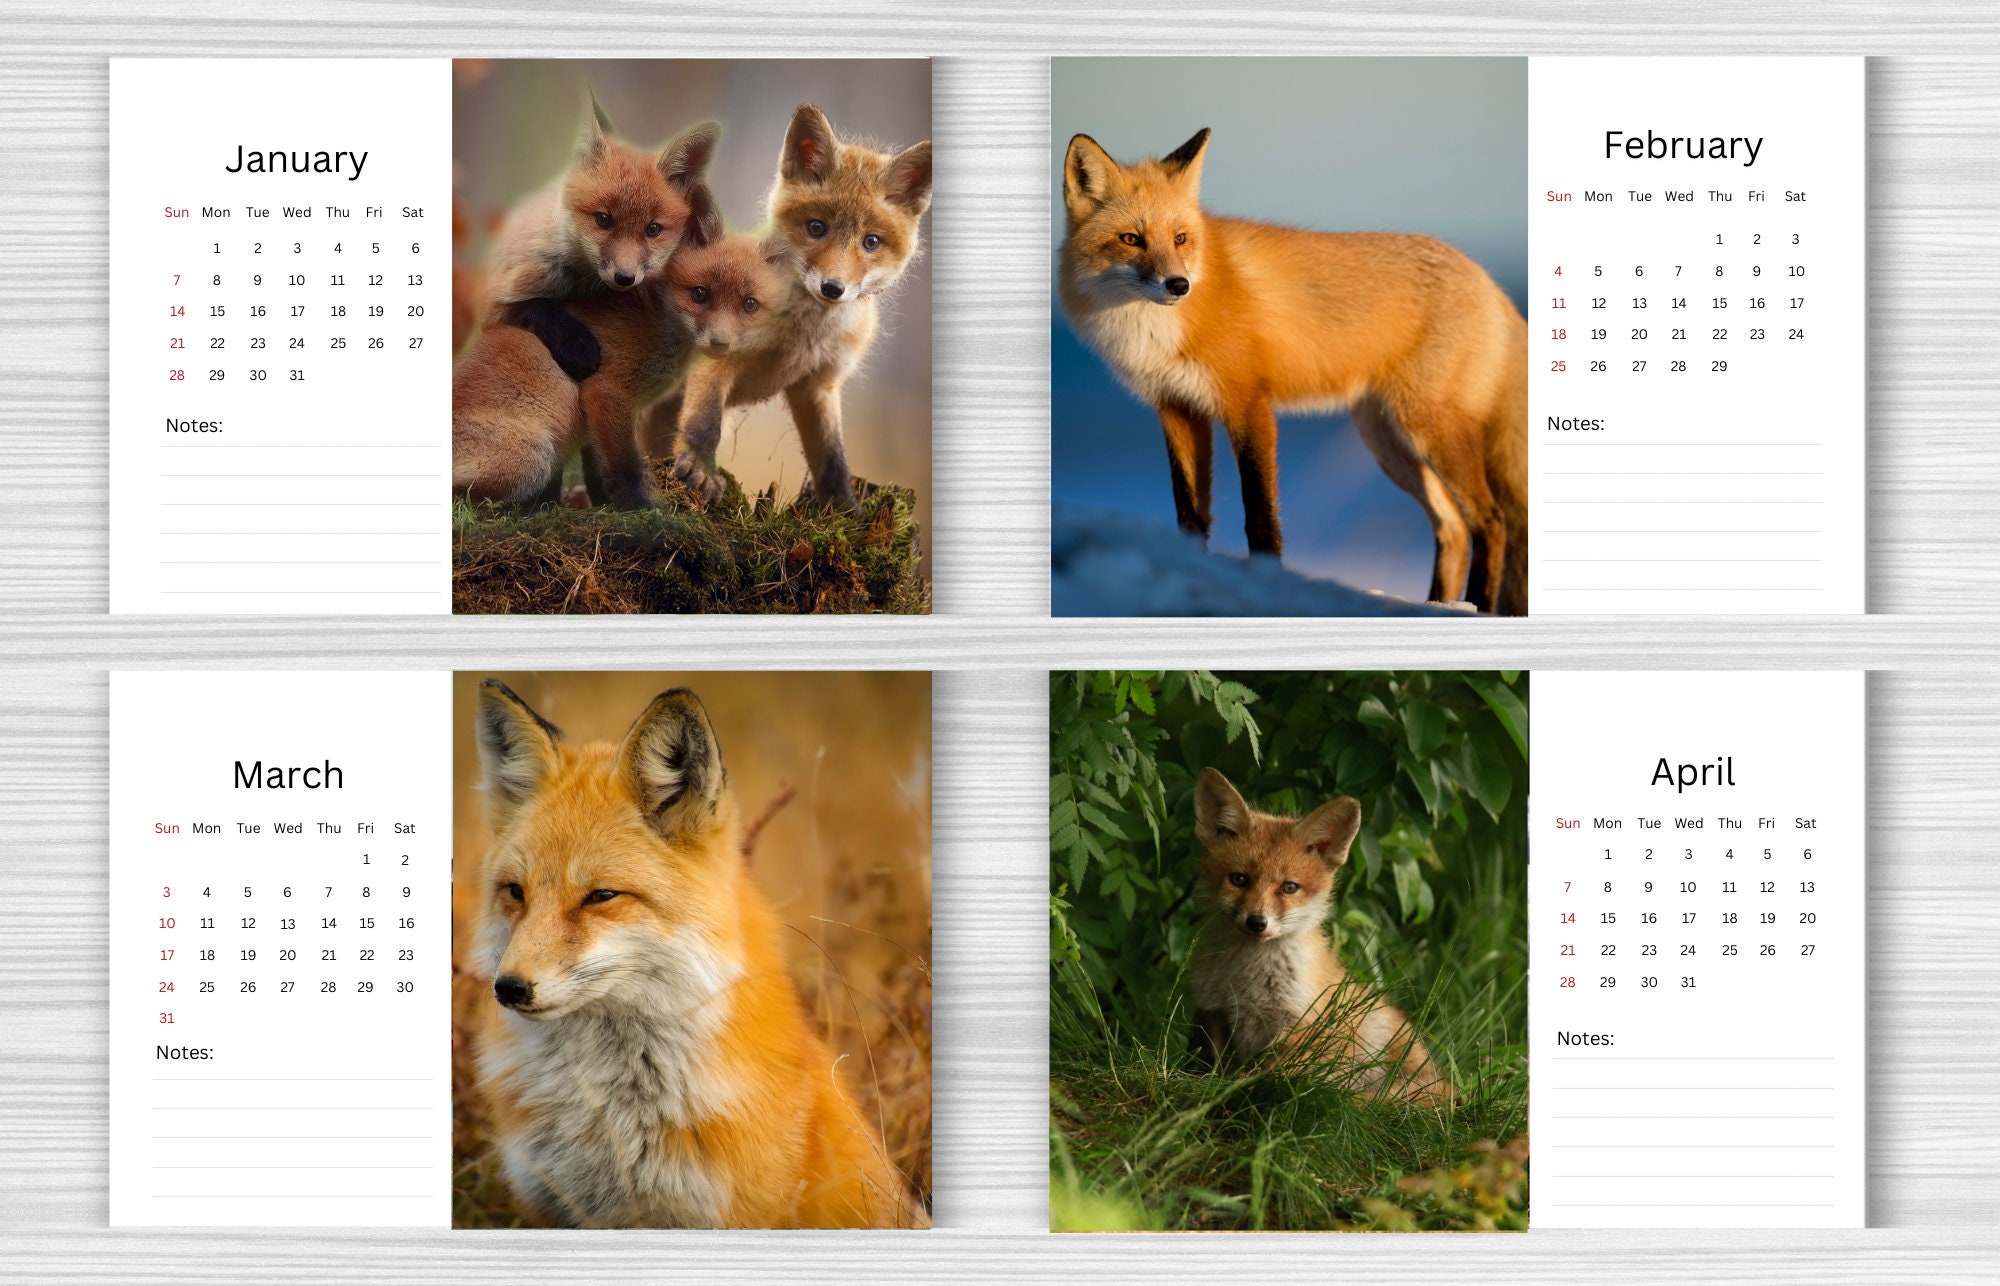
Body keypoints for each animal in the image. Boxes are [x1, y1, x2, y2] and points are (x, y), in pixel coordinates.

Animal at [452, 223, 787, 509]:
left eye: (749, 304)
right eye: (699, 294)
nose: (721, 343)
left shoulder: (607, 414)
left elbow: (598, 470)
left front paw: (606, 505)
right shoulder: (607, 390)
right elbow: (624, 468)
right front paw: (640, 510)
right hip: (534, 459)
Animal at [653, 104, 932, 511]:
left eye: (871, 242)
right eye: (816, 228)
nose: (833, 288)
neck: (801, 337)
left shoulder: (819, 384)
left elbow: (832, 457)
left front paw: (843, 508)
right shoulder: (719, 350)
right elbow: (705, 421)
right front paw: (702, 469)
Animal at [1059, 129, 1529, 615]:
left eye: (1181, 238)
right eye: (1131, 239)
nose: (1178, 285)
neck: (1154, 329)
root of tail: (1488, 280)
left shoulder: (1248, 403)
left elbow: (1259, 513)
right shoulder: (1177, 408)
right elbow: (1189, 512)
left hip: (1428, 429)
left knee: (1491, 521)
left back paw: (1478, 604)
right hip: (1389, 443)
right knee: (1453, 527)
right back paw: (1439, 603)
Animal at [1186, 767, 1456, 1105]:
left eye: (1289, 887)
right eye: (1239, 879)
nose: (1257, 922)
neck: (1246, 980)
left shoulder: (1301, 1025)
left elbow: (1266, 1076)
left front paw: (1239, 1089)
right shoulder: (1213, 1011)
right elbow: (1216, 1066)